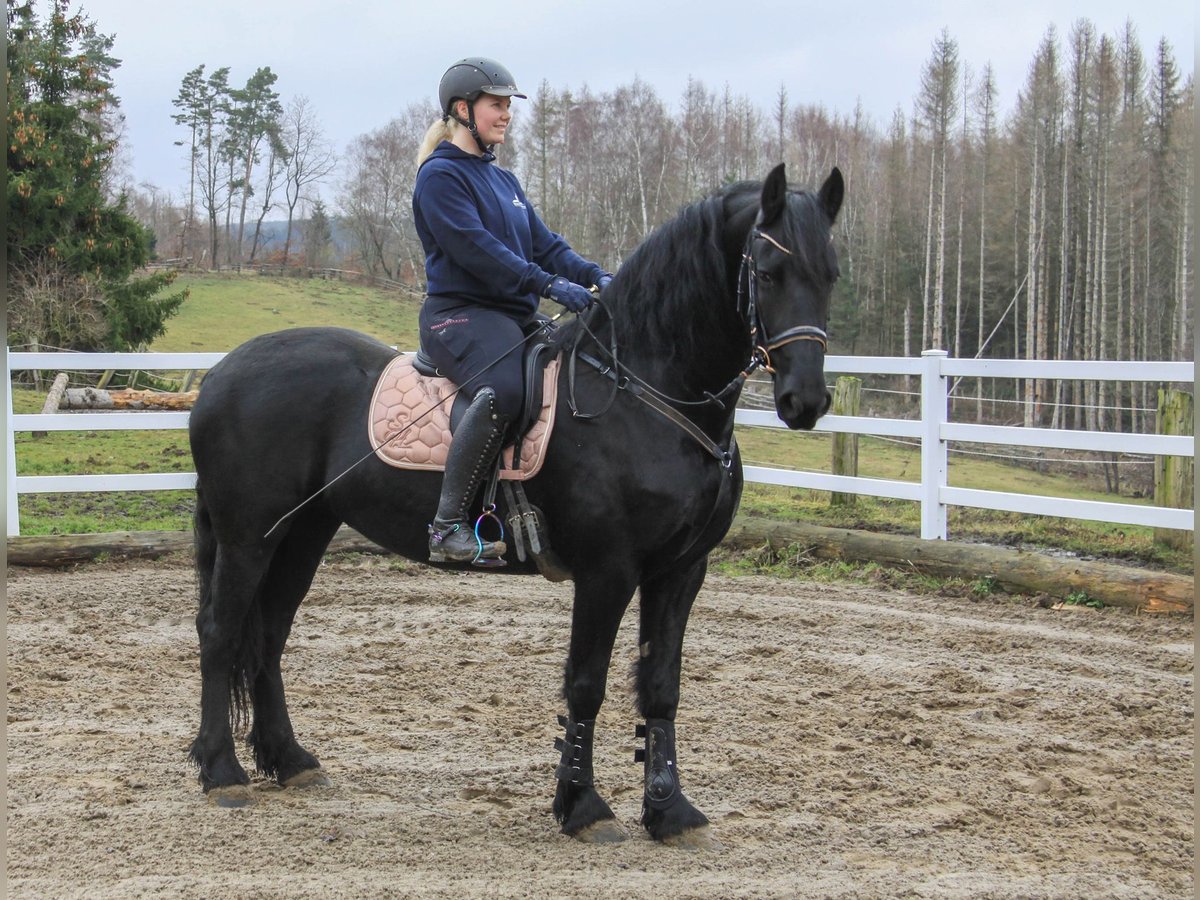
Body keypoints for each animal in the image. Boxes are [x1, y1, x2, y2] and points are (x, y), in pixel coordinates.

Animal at [187, 165, 844, 849]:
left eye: (831, 274)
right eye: (768, 272)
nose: (805, 400)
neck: (648, 392)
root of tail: (221, 373)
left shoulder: (681, 571)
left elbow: (661, 688)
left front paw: (670, 811)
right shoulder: (609, 571)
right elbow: (586, 684)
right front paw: (583, 806)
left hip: (304, 533)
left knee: (268, 635)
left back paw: (288, 760)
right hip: (249, 537)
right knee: (221, 631)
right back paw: (222, 770)